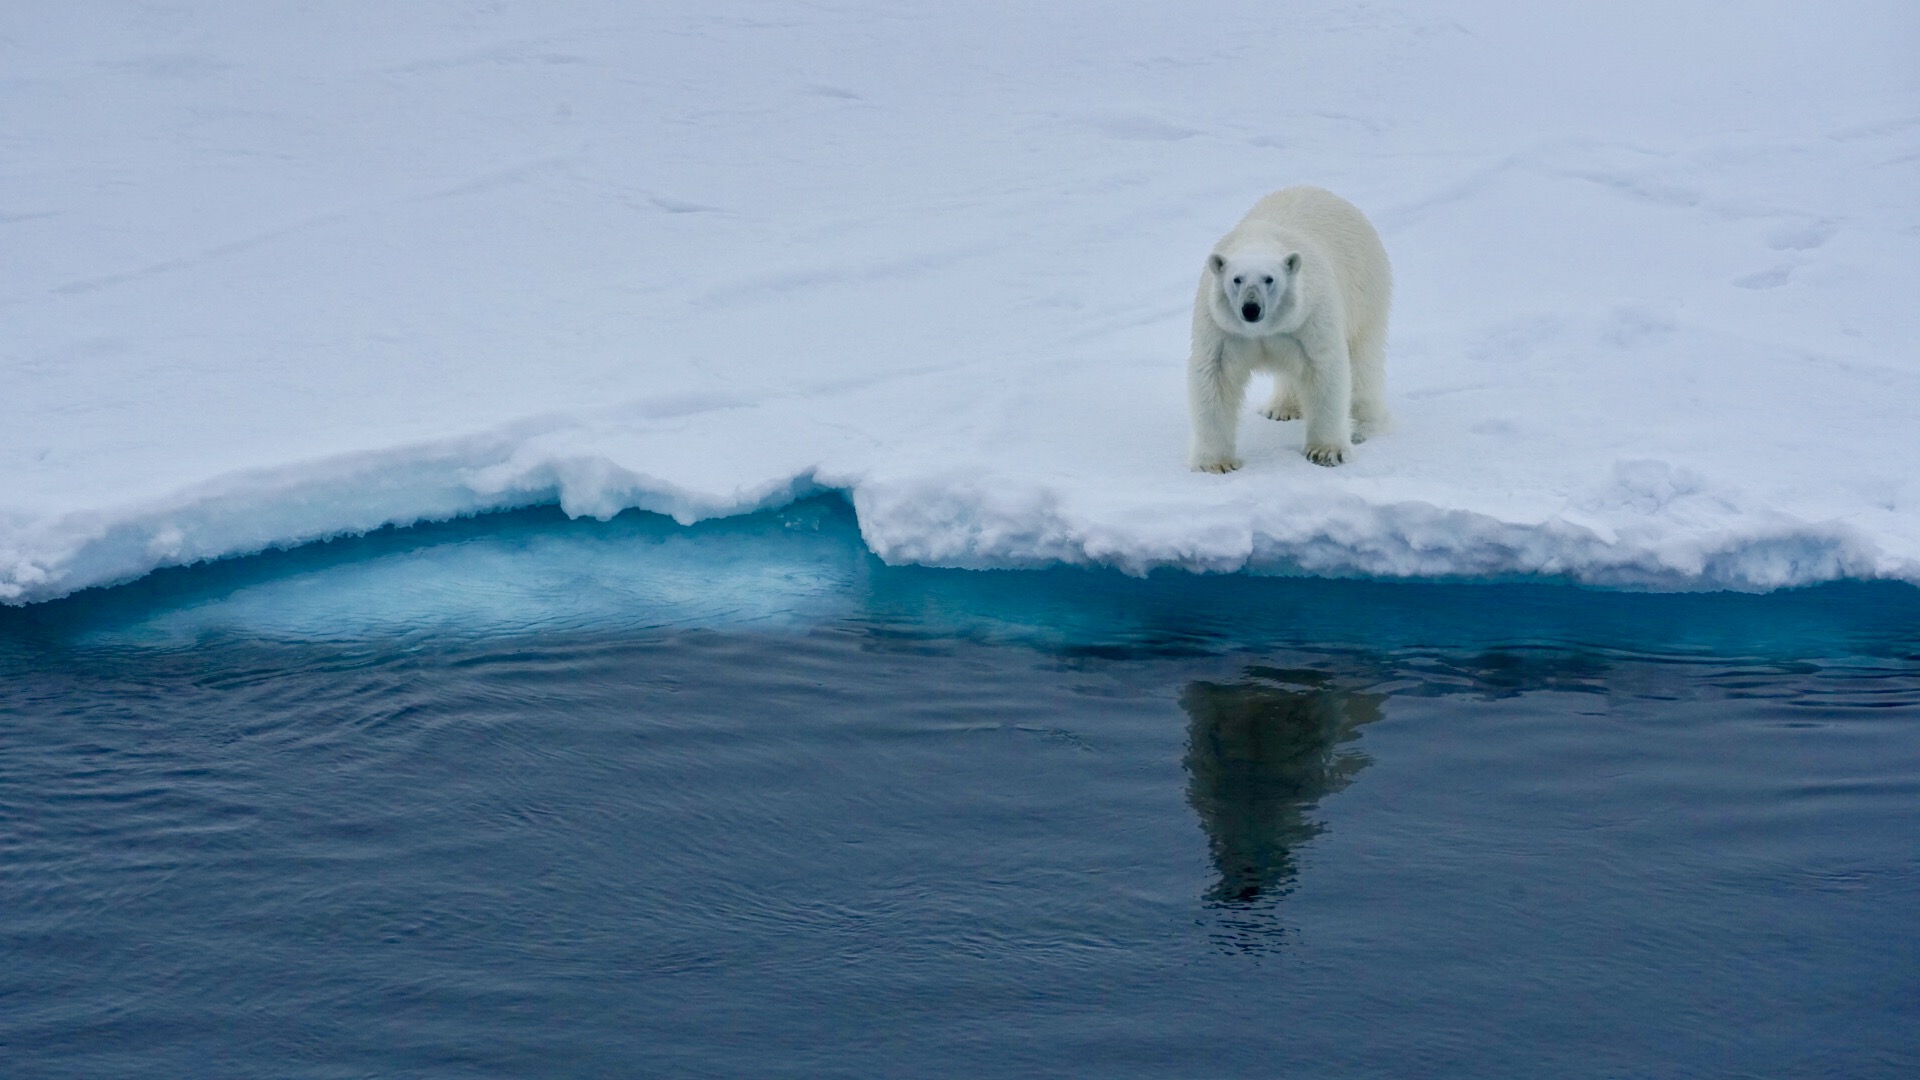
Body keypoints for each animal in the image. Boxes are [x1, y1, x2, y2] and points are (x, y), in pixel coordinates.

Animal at [1175, 183, 1390, 466]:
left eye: (1269, 279)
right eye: (1237, 279)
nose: (1251, 308)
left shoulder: (1311, 315)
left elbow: (1324, 367)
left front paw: (1326, 451)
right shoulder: (1221, 327)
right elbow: (1215, 375)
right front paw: (1215, 462)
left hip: (1366, 291)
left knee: (1364, 361)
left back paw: (1363, 427)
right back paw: (1280, 409)